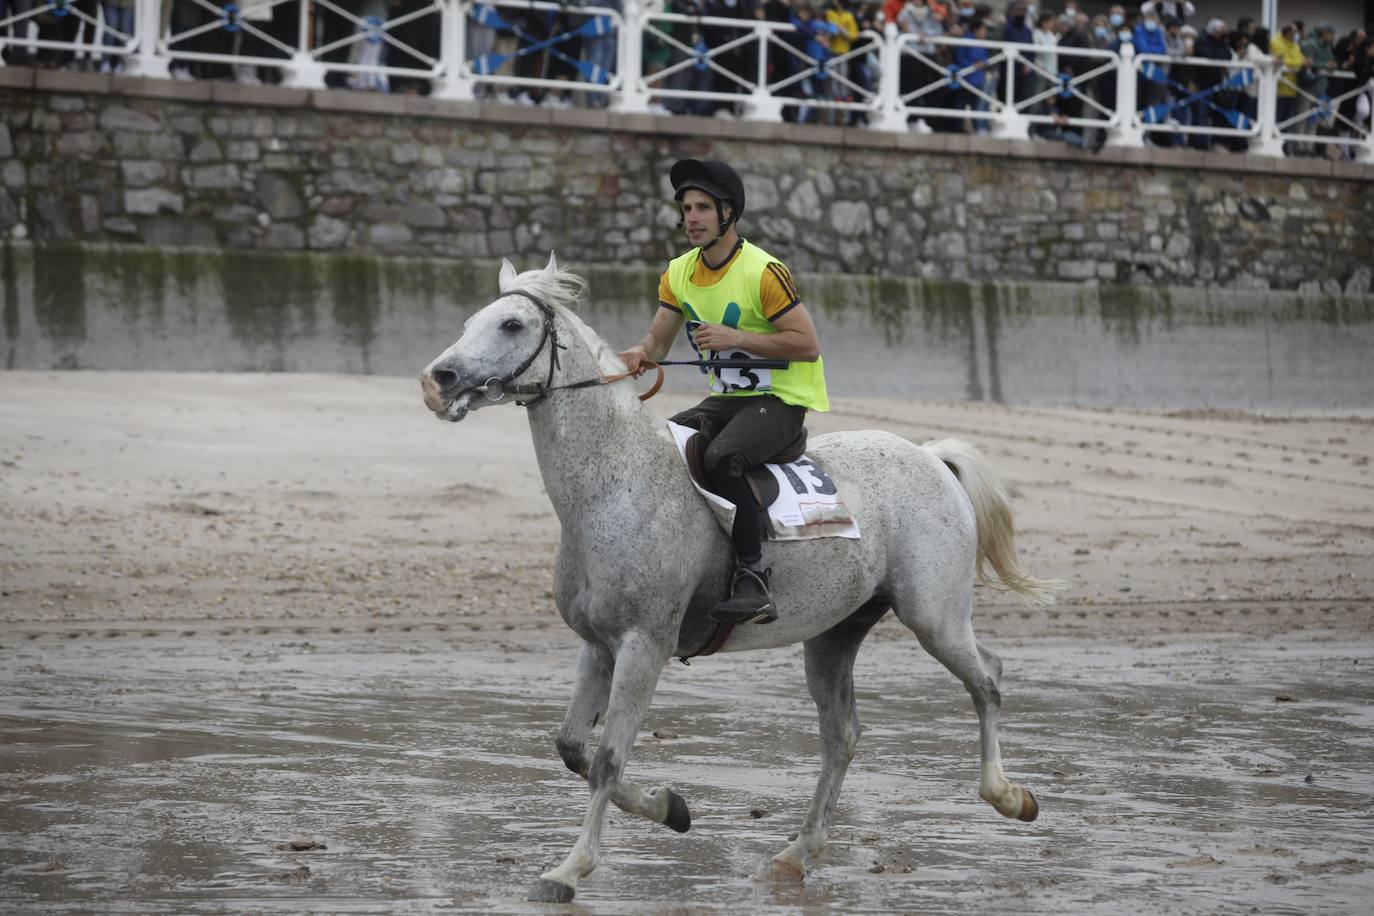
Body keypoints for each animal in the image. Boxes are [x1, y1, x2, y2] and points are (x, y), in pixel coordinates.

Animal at [414, 256, 1049, 900]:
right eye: (470, 323)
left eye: (512, 324)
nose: (436, 379)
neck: (616, 486)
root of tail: (930, 455)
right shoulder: (598, 645)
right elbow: (573, 747)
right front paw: (670, 808)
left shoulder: (645, 645)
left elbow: (609, 756)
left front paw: (570, 868)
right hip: (834, 635)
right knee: (842, 735)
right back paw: (795, 853)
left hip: (934, 617)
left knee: (987, 680)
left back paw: (1010, 797)